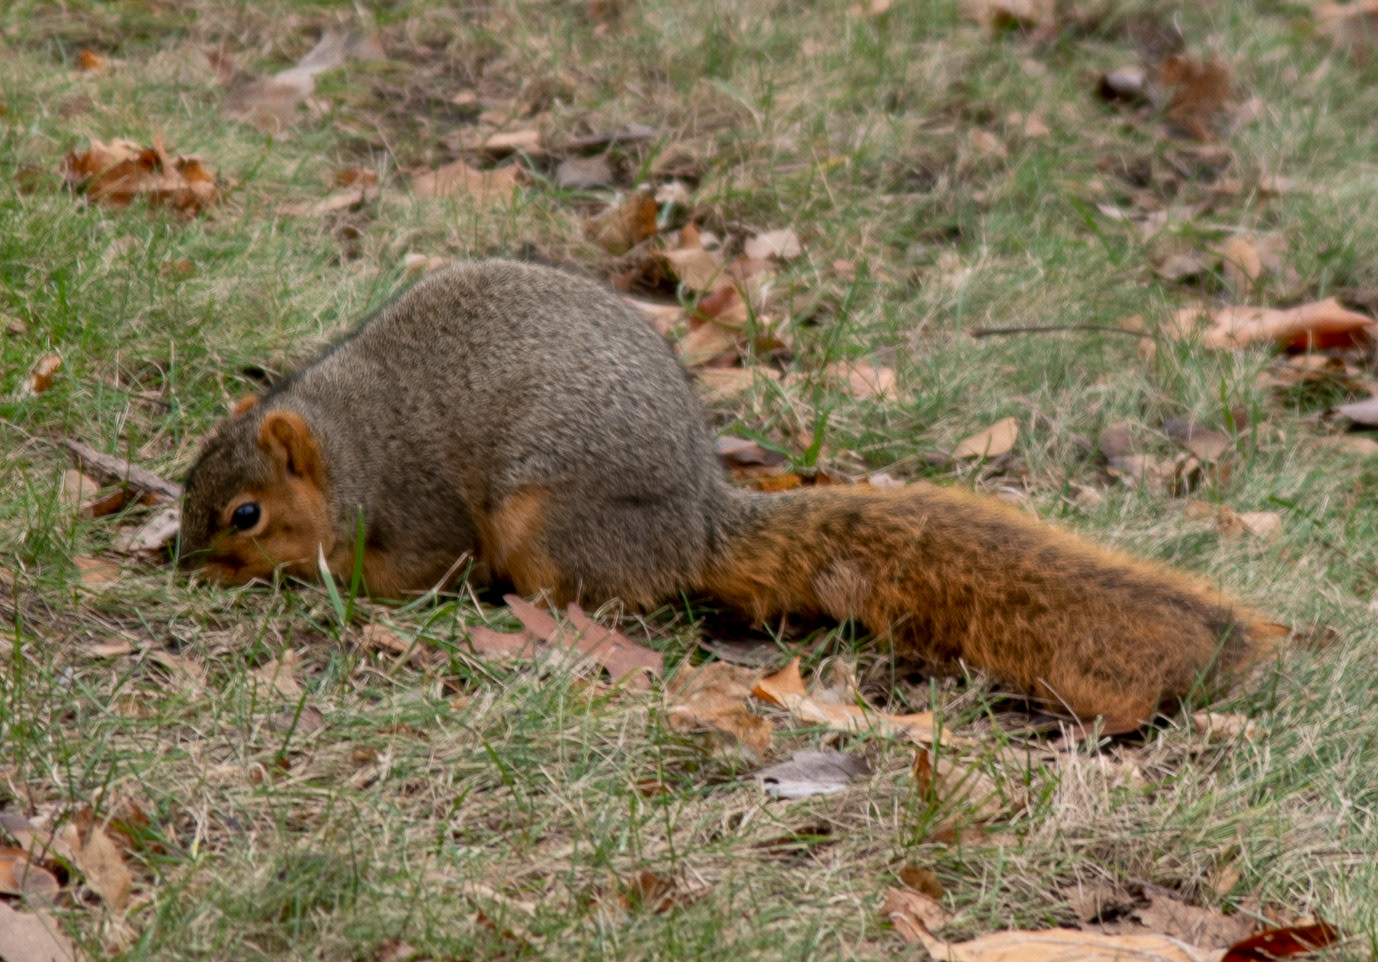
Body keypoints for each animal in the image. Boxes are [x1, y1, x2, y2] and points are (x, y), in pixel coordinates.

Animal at [180, 259, 1267, 731]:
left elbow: (409, 573)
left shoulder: (416, 511)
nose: (186, 565)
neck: (348, 448)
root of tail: (696, 523)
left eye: (246, 514)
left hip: (548, 526)